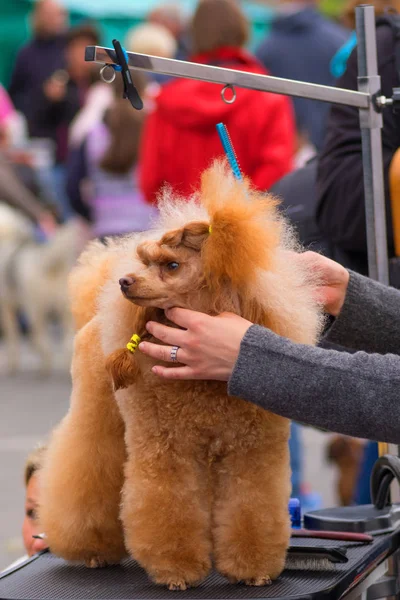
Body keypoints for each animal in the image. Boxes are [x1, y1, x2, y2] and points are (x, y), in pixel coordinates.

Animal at [0, 206, 79, 376]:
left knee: (41, 340)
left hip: (34, 310)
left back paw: (44, 366)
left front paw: (12, 365)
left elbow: (13, 339)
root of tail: (47, 262)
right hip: (65, 311)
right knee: (66, 342)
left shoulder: (6, 308)